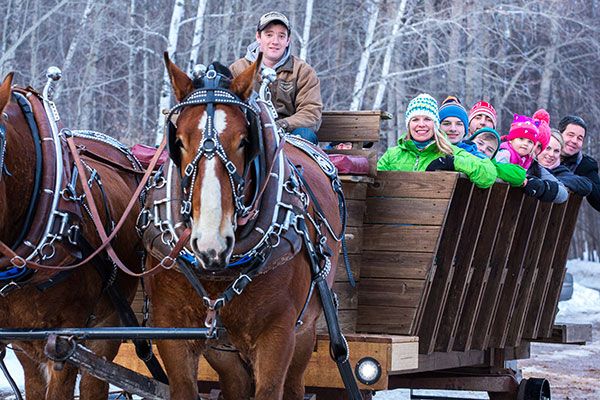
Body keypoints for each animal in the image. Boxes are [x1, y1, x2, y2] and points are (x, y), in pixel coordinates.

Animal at [144, 54, 344, 398]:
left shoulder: (278, 335)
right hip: (223, 348)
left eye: (244, 141)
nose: (211, 244)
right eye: (178, 141)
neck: (218, 271)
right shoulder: (172, 329)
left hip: (305, 332)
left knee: (294, 384)